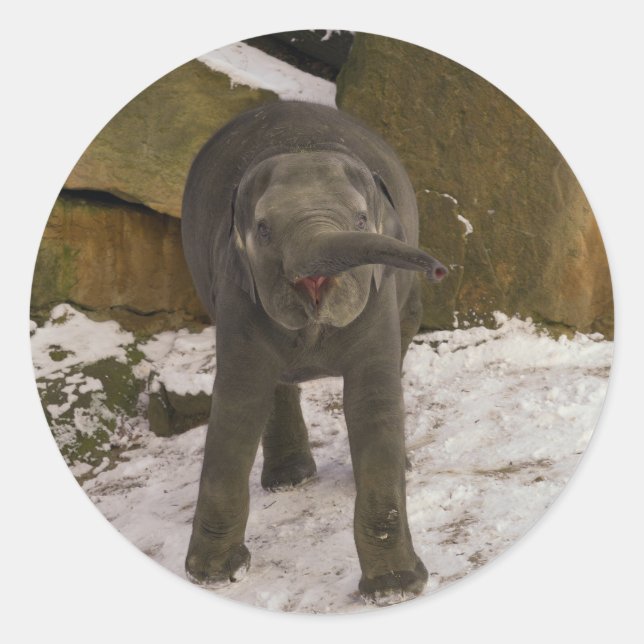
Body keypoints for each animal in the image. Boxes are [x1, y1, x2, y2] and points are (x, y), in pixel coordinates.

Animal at [181, 101, 447, 606]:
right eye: (263, 230)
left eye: (360, 220)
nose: (440, 268)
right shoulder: (235, 289)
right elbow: (238, 401)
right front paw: (215, 576)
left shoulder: (378, 292)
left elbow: (373, 401)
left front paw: (394, 590)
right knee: (274, 387)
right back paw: (290, 480)